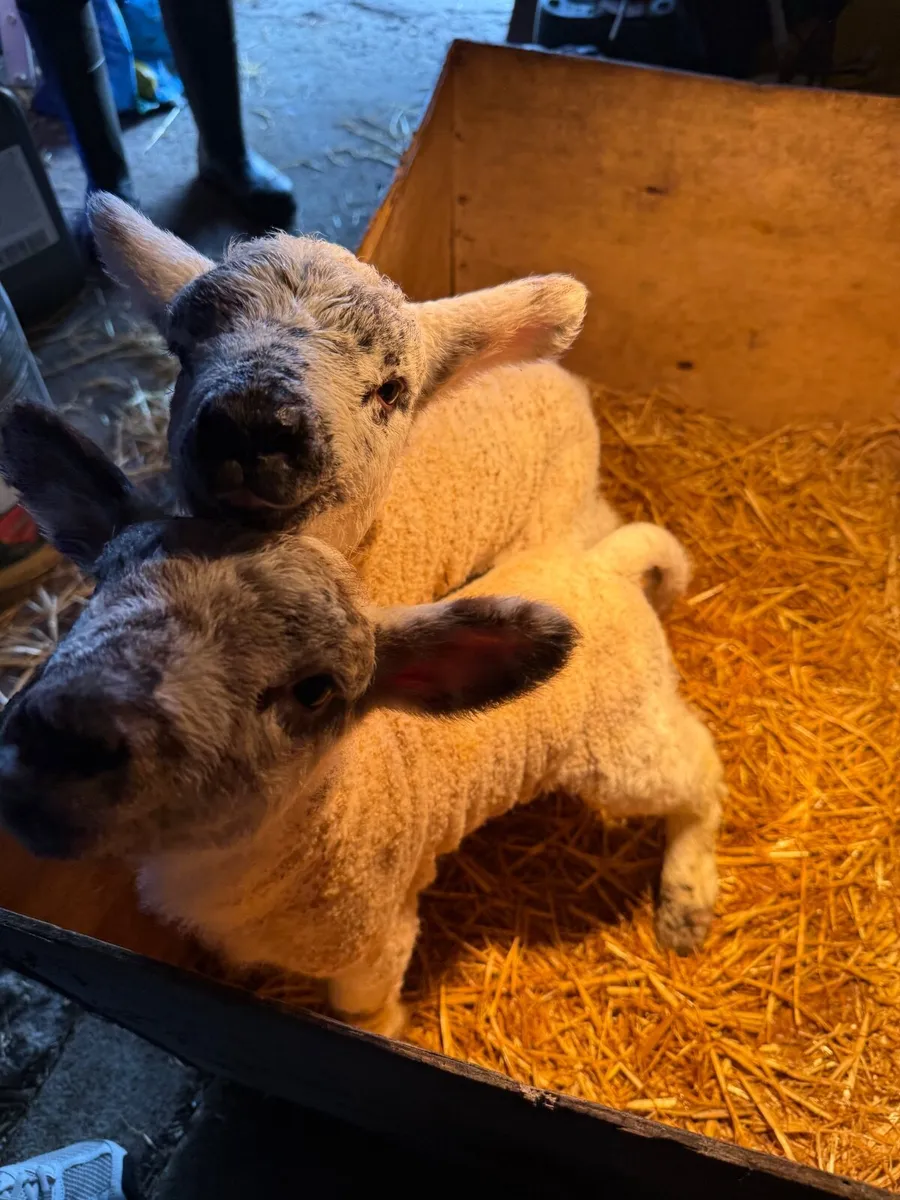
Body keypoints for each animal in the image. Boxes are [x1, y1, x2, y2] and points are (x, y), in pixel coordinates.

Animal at [0, 406, 722, 1039]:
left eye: (315, 691)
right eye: (99, 586)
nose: (63, 734)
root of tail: (604, 566)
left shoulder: (376, 940)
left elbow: (361, 1013)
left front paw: (390, 1032)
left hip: (621, 747)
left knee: (700, 770)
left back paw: (687, 899)